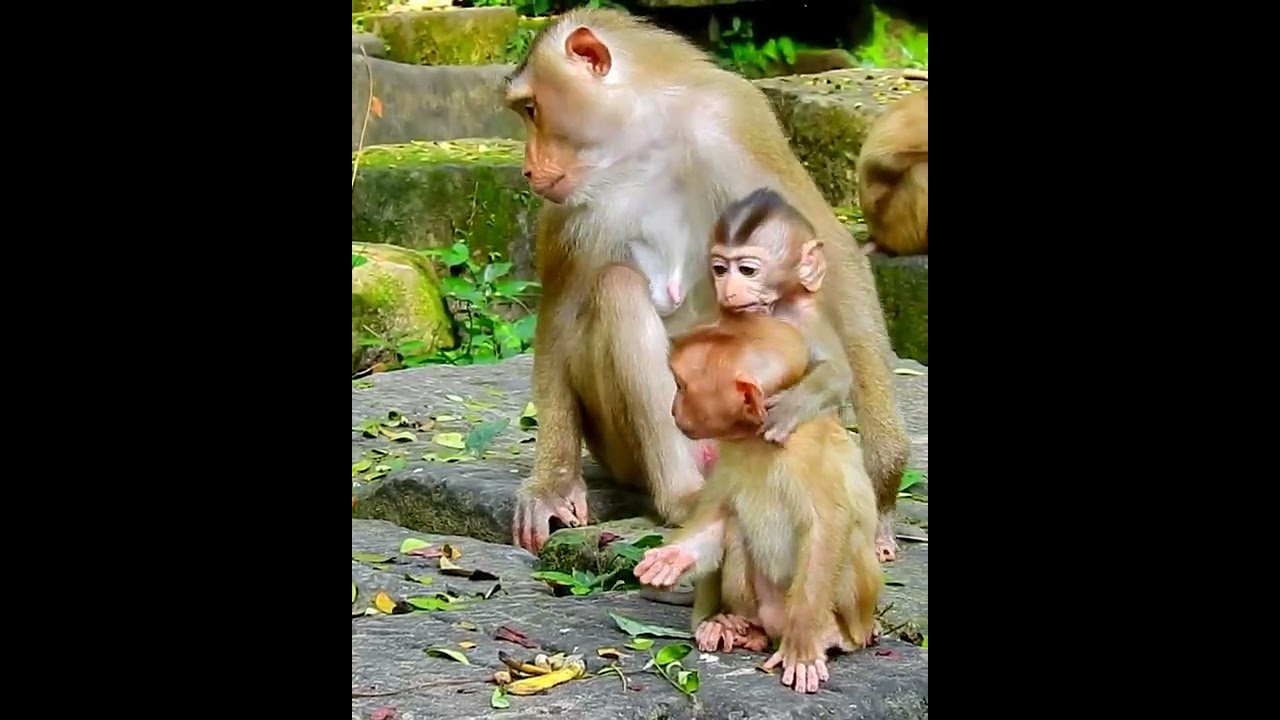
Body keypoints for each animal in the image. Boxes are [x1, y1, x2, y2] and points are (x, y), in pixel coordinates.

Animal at [503, 8, 910, 561]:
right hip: (626, 449)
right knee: (617, 289)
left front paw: (882, 479)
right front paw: (552, 485)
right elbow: (563, 311)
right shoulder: (568, 210)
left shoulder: (734, 120)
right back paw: (683, 497)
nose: (527, 168)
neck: (641, 141)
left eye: (531, 108)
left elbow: (832, 257)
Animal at [633, 313, 882, 694]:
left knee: (849, 542)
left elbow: (828, 526)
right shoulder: (728, 456)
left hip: (850, 615)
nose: (673, 408)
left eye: (682, 386)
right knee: (735, 525)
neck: (755, 440)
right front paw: (672, 559)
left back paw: (828, 635)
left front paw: (804, 647)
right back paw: (739, 627)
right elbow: (717, 515)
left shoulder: (808, 457)